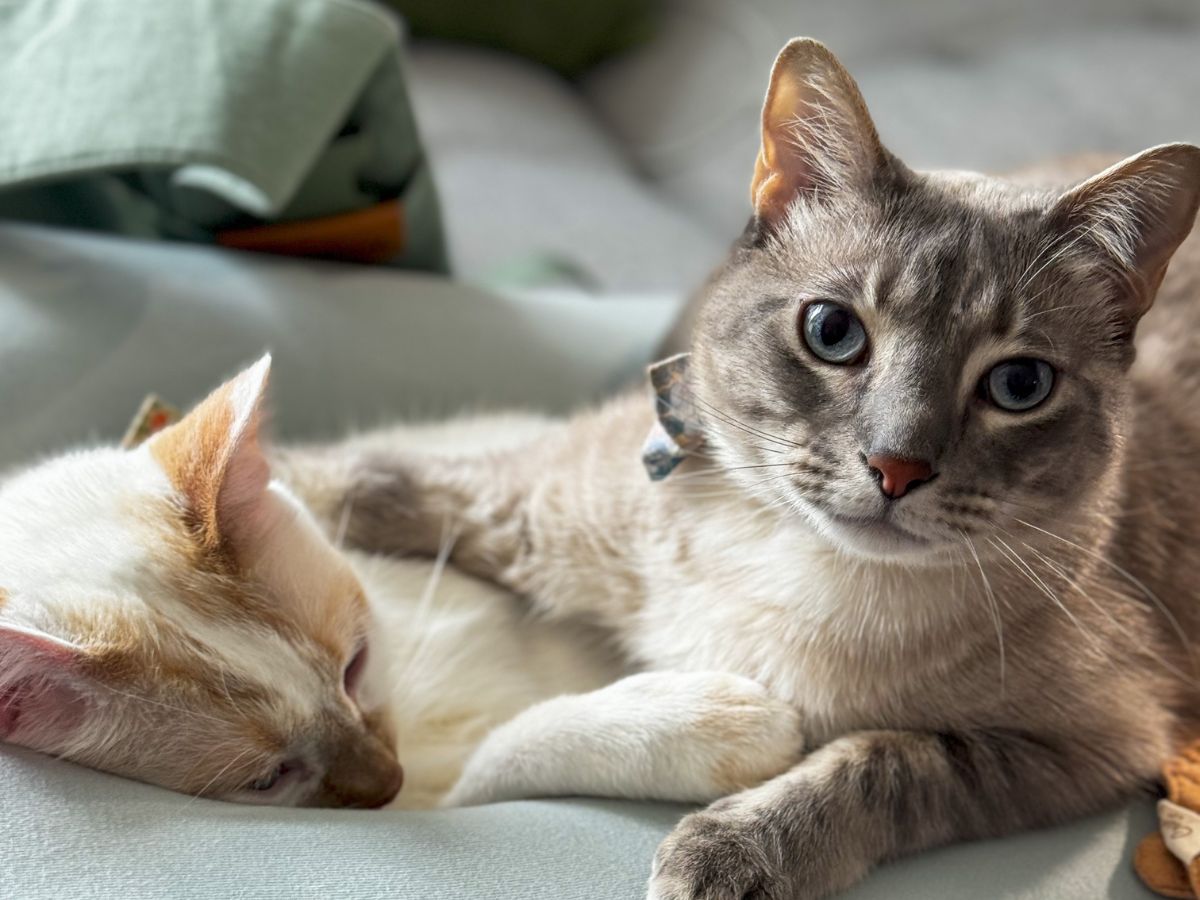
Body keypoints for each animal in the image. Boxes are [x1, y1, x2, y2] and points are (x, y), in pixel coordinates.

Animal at [314, 37, 1200, 900]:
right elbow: (395, 481)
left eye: (1019, 386)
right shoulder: (541, 502)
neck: (792, 566)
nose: (896, 467)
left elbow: (883, 760)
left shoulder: (1090, 744)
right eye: (834, 332)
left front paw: (736, 848)